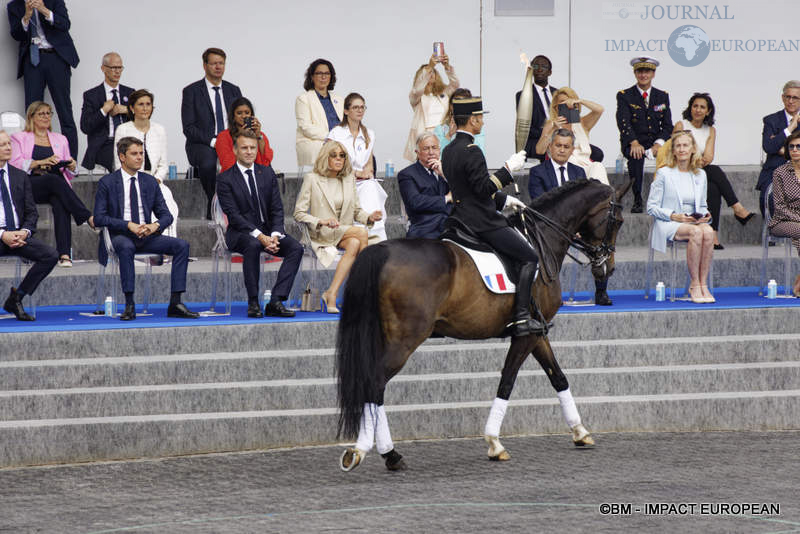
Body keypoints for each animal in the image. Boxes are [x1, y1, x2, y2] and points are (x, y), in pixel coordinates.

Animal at [334, 178, 628, 472]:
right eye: (618, 221)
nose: (607, 267)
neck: (541, 239)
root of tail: (381, 250)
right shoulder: (526, 335)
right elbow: (507, 381)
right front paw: (494, 443)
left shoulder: (538, 332)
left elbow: (558, 377)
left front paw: (580, 431)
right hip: (404, 341)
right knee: (374, 382)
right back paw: (373, 452)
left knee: (374, 386)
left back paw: (382, 453)